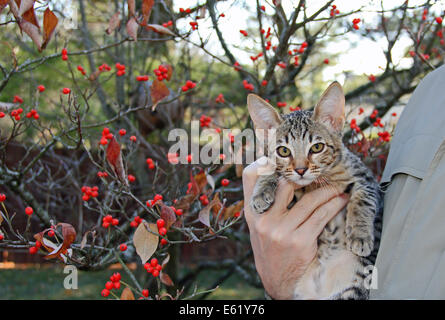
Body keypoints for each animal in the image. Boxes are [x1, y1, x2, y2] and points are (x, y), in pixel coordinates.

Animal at [246, 82, 382, 300]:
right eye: (283, 151)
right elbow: (272, 169)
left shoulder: (366, 179)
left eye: (317, 147)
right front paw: (261, 192)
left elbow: (363, 199)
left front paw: (360, 236)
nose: (301, 170)